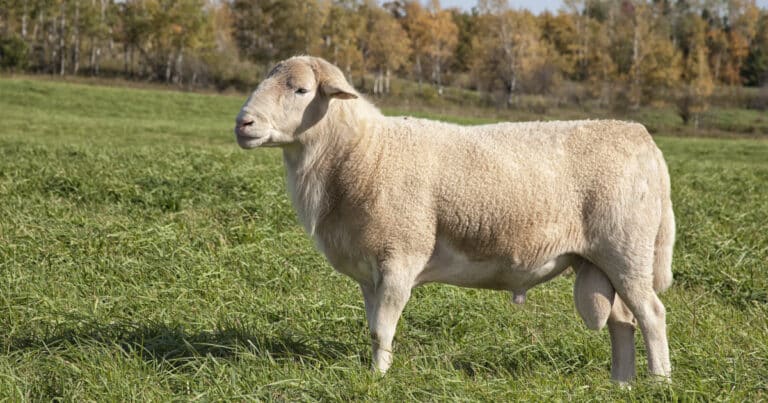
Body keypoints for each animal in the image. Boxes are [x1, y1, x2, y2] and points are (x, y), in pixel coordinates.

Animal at [232, 55, 672, 384]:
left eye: (301, 90)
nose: (243, 123)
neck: (362, 152)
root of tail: (644, 140)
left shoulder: (400, 255)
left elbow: (382, 328)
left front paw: (379, 379)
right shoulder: (368, 269)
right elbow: (373, 327)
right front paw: (375, 370)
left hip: (626, 250)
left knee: (651, 315)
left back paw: (658, 381)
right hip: (601, 260)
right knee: (622, 321)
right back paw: (621, 383)